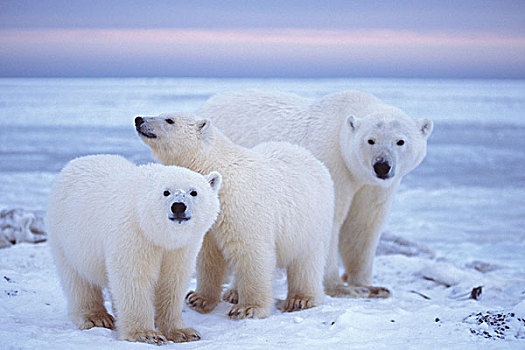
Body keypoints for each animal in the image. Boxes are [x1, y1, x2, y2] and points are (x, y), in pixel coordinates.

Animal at [46, 155, 222, 344]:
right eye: (166, 192)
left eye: (193, 192)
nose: (178, 207)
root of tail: (75, 162)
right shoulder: (134, 233)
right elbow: (133, 277)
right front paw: (146, 334)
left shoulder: (181, 247)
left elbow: (172, 280)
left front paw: (183, 332)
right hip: (68, 238)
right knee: (78, 279)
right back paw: (96, 317)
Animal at [134, 113, 332, 320]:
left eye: (169, 120)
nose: (139, 119)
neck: (217, 168)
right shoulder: (207, 219)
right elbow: (208, 256)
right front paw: (198, 298)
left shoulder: (242, 207)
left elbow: (252, 252)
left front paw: (248, 308)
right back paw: (234, 292)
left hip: (310, 219)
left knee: (306, 260)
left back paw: (301, 299)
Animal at [196, 89, 434, 296]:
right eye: (371, 140)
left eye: (400, 141)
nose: (382, 166)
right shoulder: (333, 164)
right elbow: (331, 222)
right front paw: (339, 287)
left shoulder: (373, 186)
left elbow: (363, 225)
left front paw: (369, 286)